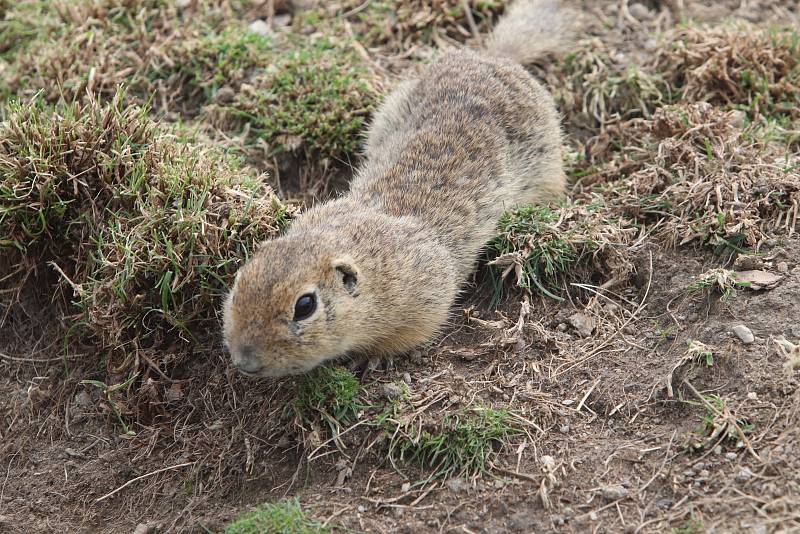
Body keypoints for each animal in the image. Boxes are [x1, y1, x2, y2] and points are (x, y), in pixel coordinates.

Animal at [223, 0, 576, 376]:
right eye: (240, 281)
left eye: (305, 305)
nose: (244, 361)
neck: (371, 262)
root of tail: (498, 57)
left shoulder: (424, 301)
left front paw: (369, 359)